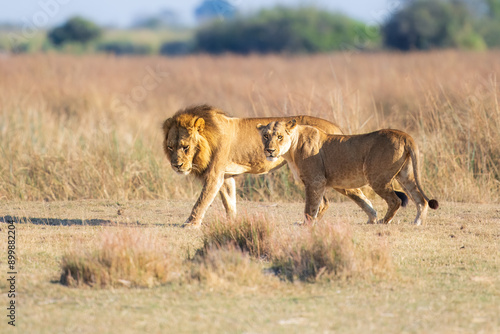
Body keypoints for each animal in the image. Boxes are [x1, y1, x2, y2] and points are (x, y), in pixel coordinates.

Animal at [163, 105, 372, 228]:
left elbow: (202, 200)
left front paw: (190, 223)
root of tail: (335, 128)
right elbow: (229, 202)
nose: (176, 165)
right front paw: (232, 222)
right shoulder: (226, 175)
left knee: (351, 194)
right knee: (325, 201)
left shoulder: (214, 174)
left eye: (185, 147)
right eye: (170, 147)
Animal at [258, 118, 438, 226]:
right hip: (405, 175)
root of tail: (404, 135)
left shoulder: (315, 180)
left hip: (377, 177)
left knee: (396, 200)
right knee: (420, 199)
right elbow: (321, 204)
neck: (291, 151)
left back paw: (383, 221)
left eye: (280, 136)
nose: (270, 151)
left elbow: (310, 206)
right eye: (266, 136)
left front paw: (306, 224)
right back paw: (417, 222)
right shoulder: (319, 182)